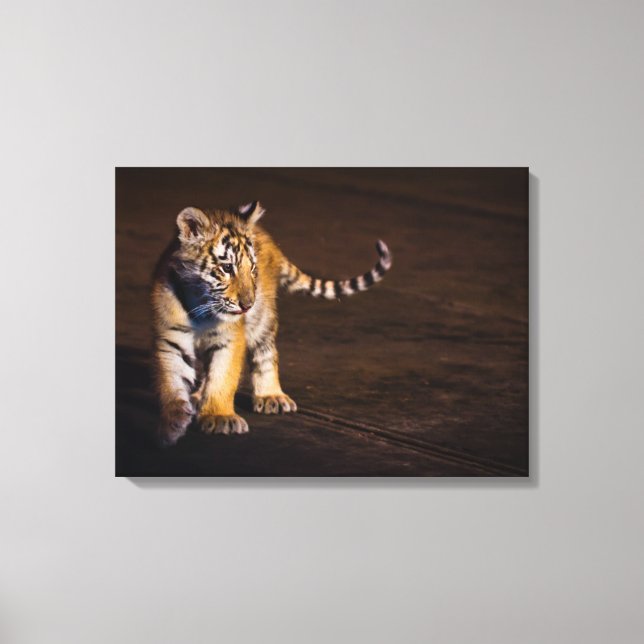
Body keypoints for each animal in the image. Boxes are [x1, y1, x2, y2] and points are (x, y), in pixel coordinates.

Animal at [151, 201, 392, 446]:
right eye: (227, 268)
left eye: (252, 269)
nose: (247, 305)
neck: (200, 304)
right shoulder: (171, 338)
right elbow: (172, 379)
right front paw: (173, 422)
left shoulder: (230, 338)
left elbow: (222, 377)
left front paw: (219, 416)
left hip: (262, 319)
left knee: (266, 353)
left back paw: (270, 396)